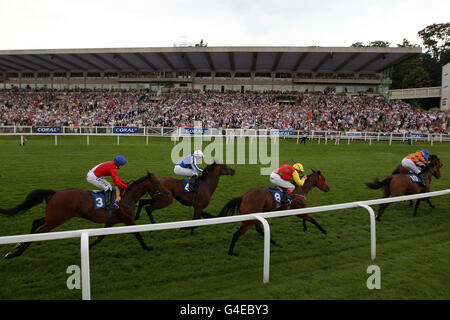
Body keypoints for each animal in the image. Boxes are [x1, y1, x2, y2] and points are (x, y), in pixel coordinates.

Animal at [0, 171, 167, 258]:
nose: (165, 193)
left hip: (52, 217)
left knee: (36, 222)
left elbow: (100, 237)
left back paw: (18, 245)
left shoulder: (111, 221)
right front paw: (147, 247)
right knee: (38, 232)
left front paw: (84, 249)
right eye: (157, 182)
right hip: (56, 219)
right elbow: (137, 233)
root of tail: (55, 193)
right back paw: (15, 253)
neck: (128, 196)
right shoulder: (128, 219)